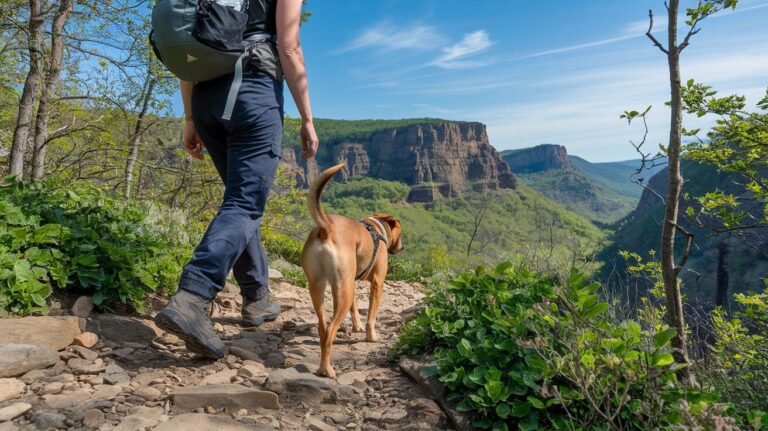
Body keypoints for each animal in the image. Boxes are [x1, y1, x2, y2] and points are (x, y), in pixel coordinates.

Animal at [302, 162, 404, 378]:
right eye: (400, 232)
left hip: (323, 286)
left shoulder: (352, 282)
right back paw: (326, 369)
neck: (376, 228)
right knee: (330, 331)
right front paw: (371, 336)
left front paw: (357, 326)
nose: (402, 247)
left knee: (323, 327)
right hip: (343, 289)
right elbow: (371, 315)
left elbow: (355, 308)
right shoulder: (378, 283)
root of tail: (327, 228)